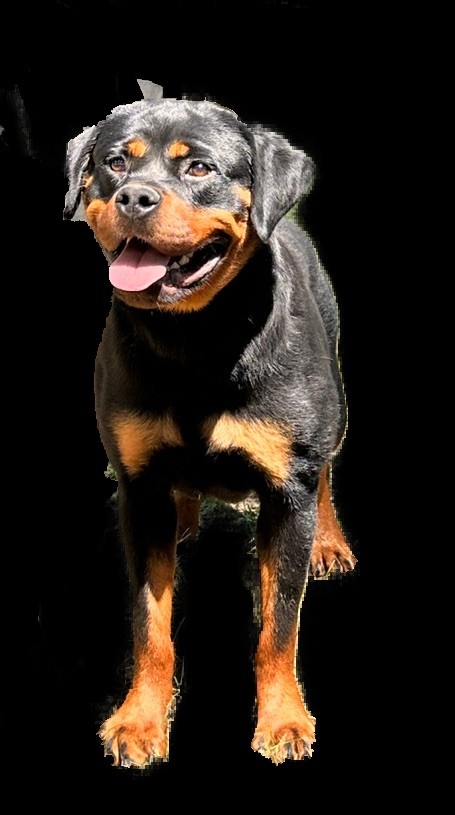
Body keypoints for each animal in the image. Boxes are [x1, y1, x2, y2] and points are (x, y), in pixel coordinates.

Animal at [64, 97, 356, 767]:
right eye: (114, 163)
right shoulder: (138, 486)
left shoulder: (287, 490)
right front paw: (140, 719)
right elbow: (150, 625)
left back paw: (329, 541)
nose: (135, 196)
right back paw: (187, 516)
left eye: (198, 167)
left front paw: (283, 718)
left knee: (328, 467)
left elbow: (279, 626)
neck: (194, 342)